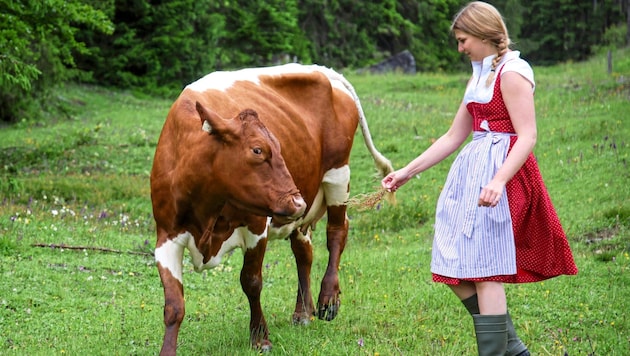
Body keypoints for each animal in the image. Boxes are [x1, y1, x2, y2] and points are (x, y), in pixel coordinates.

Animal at [151, 62, 392, 354]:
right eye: (257, 150)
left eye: (278, 147)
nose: (297, 202)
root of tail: (322, 70)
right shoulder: (166, 237)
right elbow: (173, 305)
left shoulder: (256, 226)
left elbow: (251, 282)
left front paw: (260, 337)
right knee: (303, 251)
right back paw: (303, 312)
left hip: (338, 174)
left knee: (337, 232)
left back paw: (327, 298)